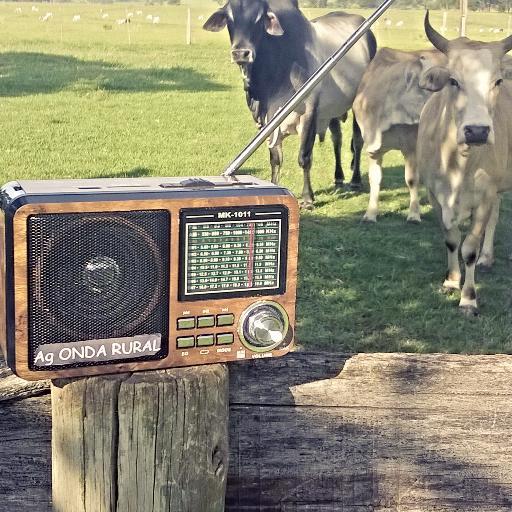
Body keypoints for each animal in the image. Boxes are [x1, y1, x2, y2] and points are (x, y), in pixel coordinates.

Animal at [203, 0, 376, 208]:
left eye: (259, 19)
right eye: (229, 18)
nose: (240, 53)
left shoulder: (309, 113)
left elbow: (304, 157)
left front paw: (308, 198)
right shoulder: (267, 122)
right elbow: (275, 159)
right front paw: (273, 187)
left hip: (359, 103)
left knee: (357, 141)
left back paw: (356, 180)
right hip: (331, 110)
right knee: (337, 139)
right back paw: (338, 177)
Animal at [354, 48, 446, 222]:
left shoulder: (411, 146)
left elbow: (411, 179)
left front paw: (414, 215)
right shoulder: (372, 145)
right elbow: (374, 179)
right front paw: (370, 214)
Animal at [416, 11, 512, 316]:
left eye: (497, 82)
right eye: (453, 81)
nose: (478, 131)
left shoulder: (485, 195)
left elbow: (469, 246)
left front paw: (468, 298)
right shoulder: (434, 193)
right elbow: (451, 239)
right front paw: (451, 280)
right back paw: (487, 257)